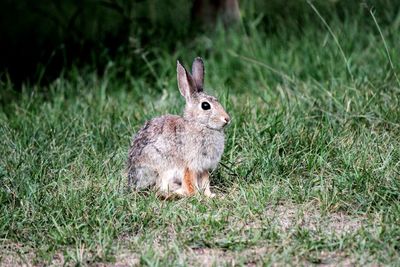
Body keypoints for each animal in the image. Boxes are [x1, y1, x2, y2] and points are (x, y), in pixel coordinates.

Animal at [126, 57, 230, 198]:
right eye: (205, 106)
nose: (227, 119)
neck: (199, 124)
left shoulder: (203, 167)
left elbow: (205, 181)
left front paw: (210, 195)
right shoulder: (189, 165)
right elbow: (190, 182)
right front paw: (197, 196)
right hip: (160, 166)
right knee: (160, 187)